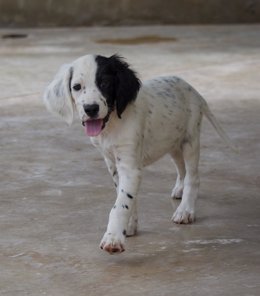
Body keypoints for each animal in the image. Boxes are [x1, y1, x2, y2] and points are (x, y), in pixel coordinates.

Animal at [43, 54, 236, 253]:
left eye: (105, 83)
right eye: (76, 87)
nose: (91, 108)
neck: (112, 125)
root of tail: (194, 91)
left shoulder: (129, 166)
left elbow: (120, 204)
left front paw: (113, 238)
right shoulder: (112, 163)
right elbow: (127, 196)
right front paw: (128, 227)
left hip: (190, 139)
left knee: (193, 177)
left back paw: (185, 210)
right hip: (173, 142)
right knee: (181, 168)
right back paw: (179, 190)